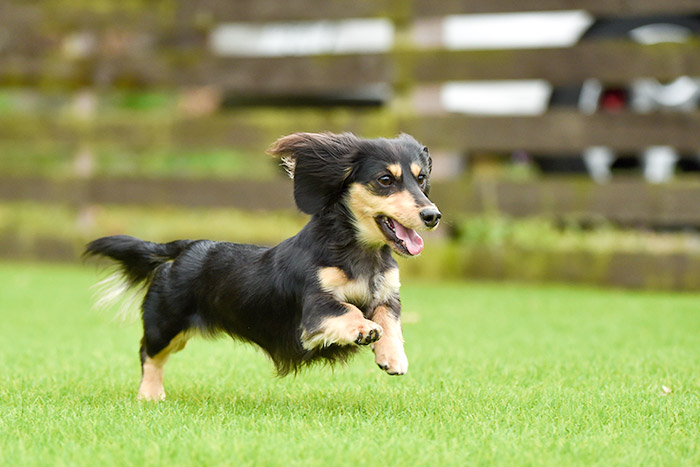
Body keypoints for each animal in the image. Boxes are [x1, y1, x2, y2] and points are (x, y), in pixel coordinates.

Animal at [85, 133, 440, 402]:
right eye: (385, 180)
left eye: (421, 178)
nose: (432, 216)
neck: (360, 255)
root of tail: (187, 246)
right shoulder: (315, 310)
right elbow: (349, 311)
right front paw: (365, 329)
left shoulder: (388, 294)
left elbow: (390, 321)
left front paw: (392, 357)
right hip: (165, 324)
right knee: (149, 354)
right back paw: (150, 394)